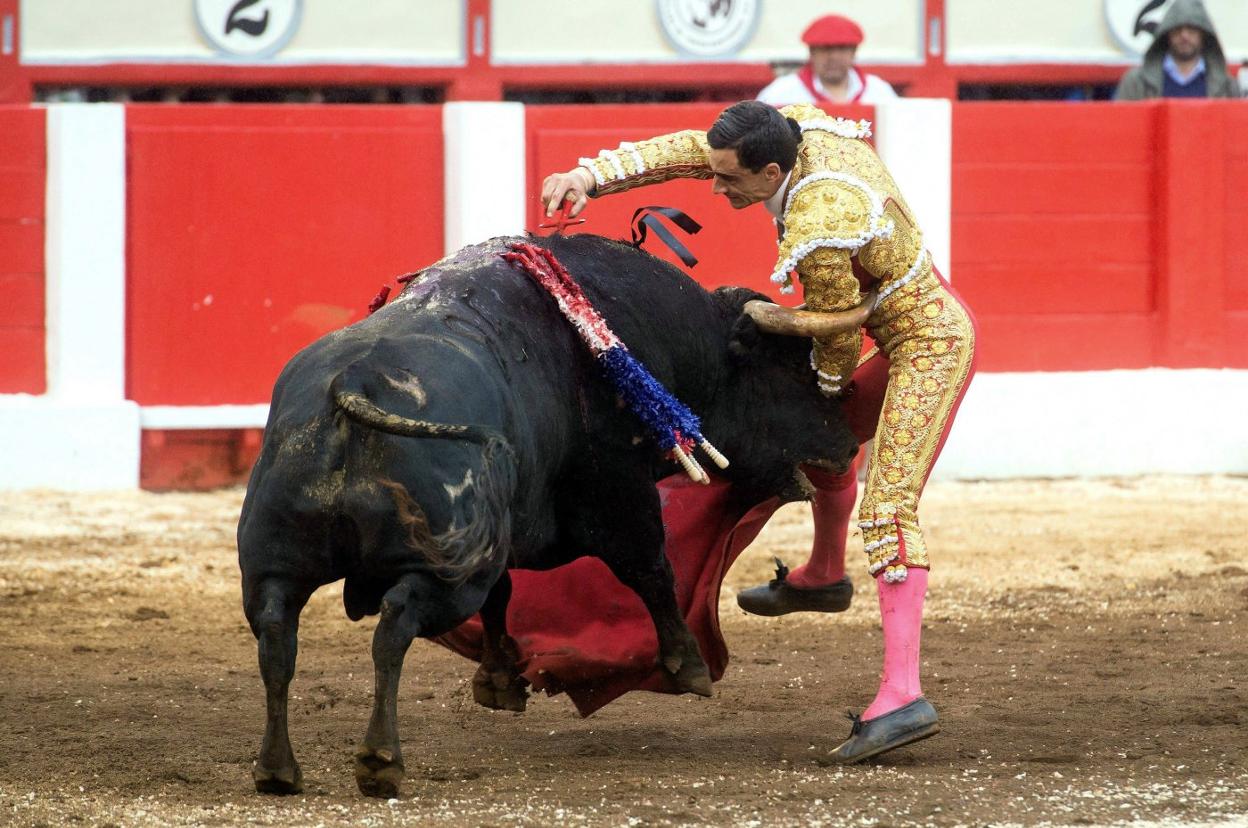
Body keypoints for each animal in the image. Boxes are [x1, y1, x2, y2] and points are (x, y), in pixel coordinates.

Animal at [235, 231, 858, 799]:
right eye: (790, 373)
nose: (850, 444)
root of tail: (354, 384)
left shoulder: (502, 532)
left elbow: (504, 598)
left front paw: (500, 679)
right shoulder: (618, 492)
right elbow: (651, 570)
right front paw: (689, 666)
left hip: (276, 565)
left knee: (276, 638)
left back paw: (277, 769)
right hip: (446, 574)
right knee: (393, 628)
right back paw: (380, 761)